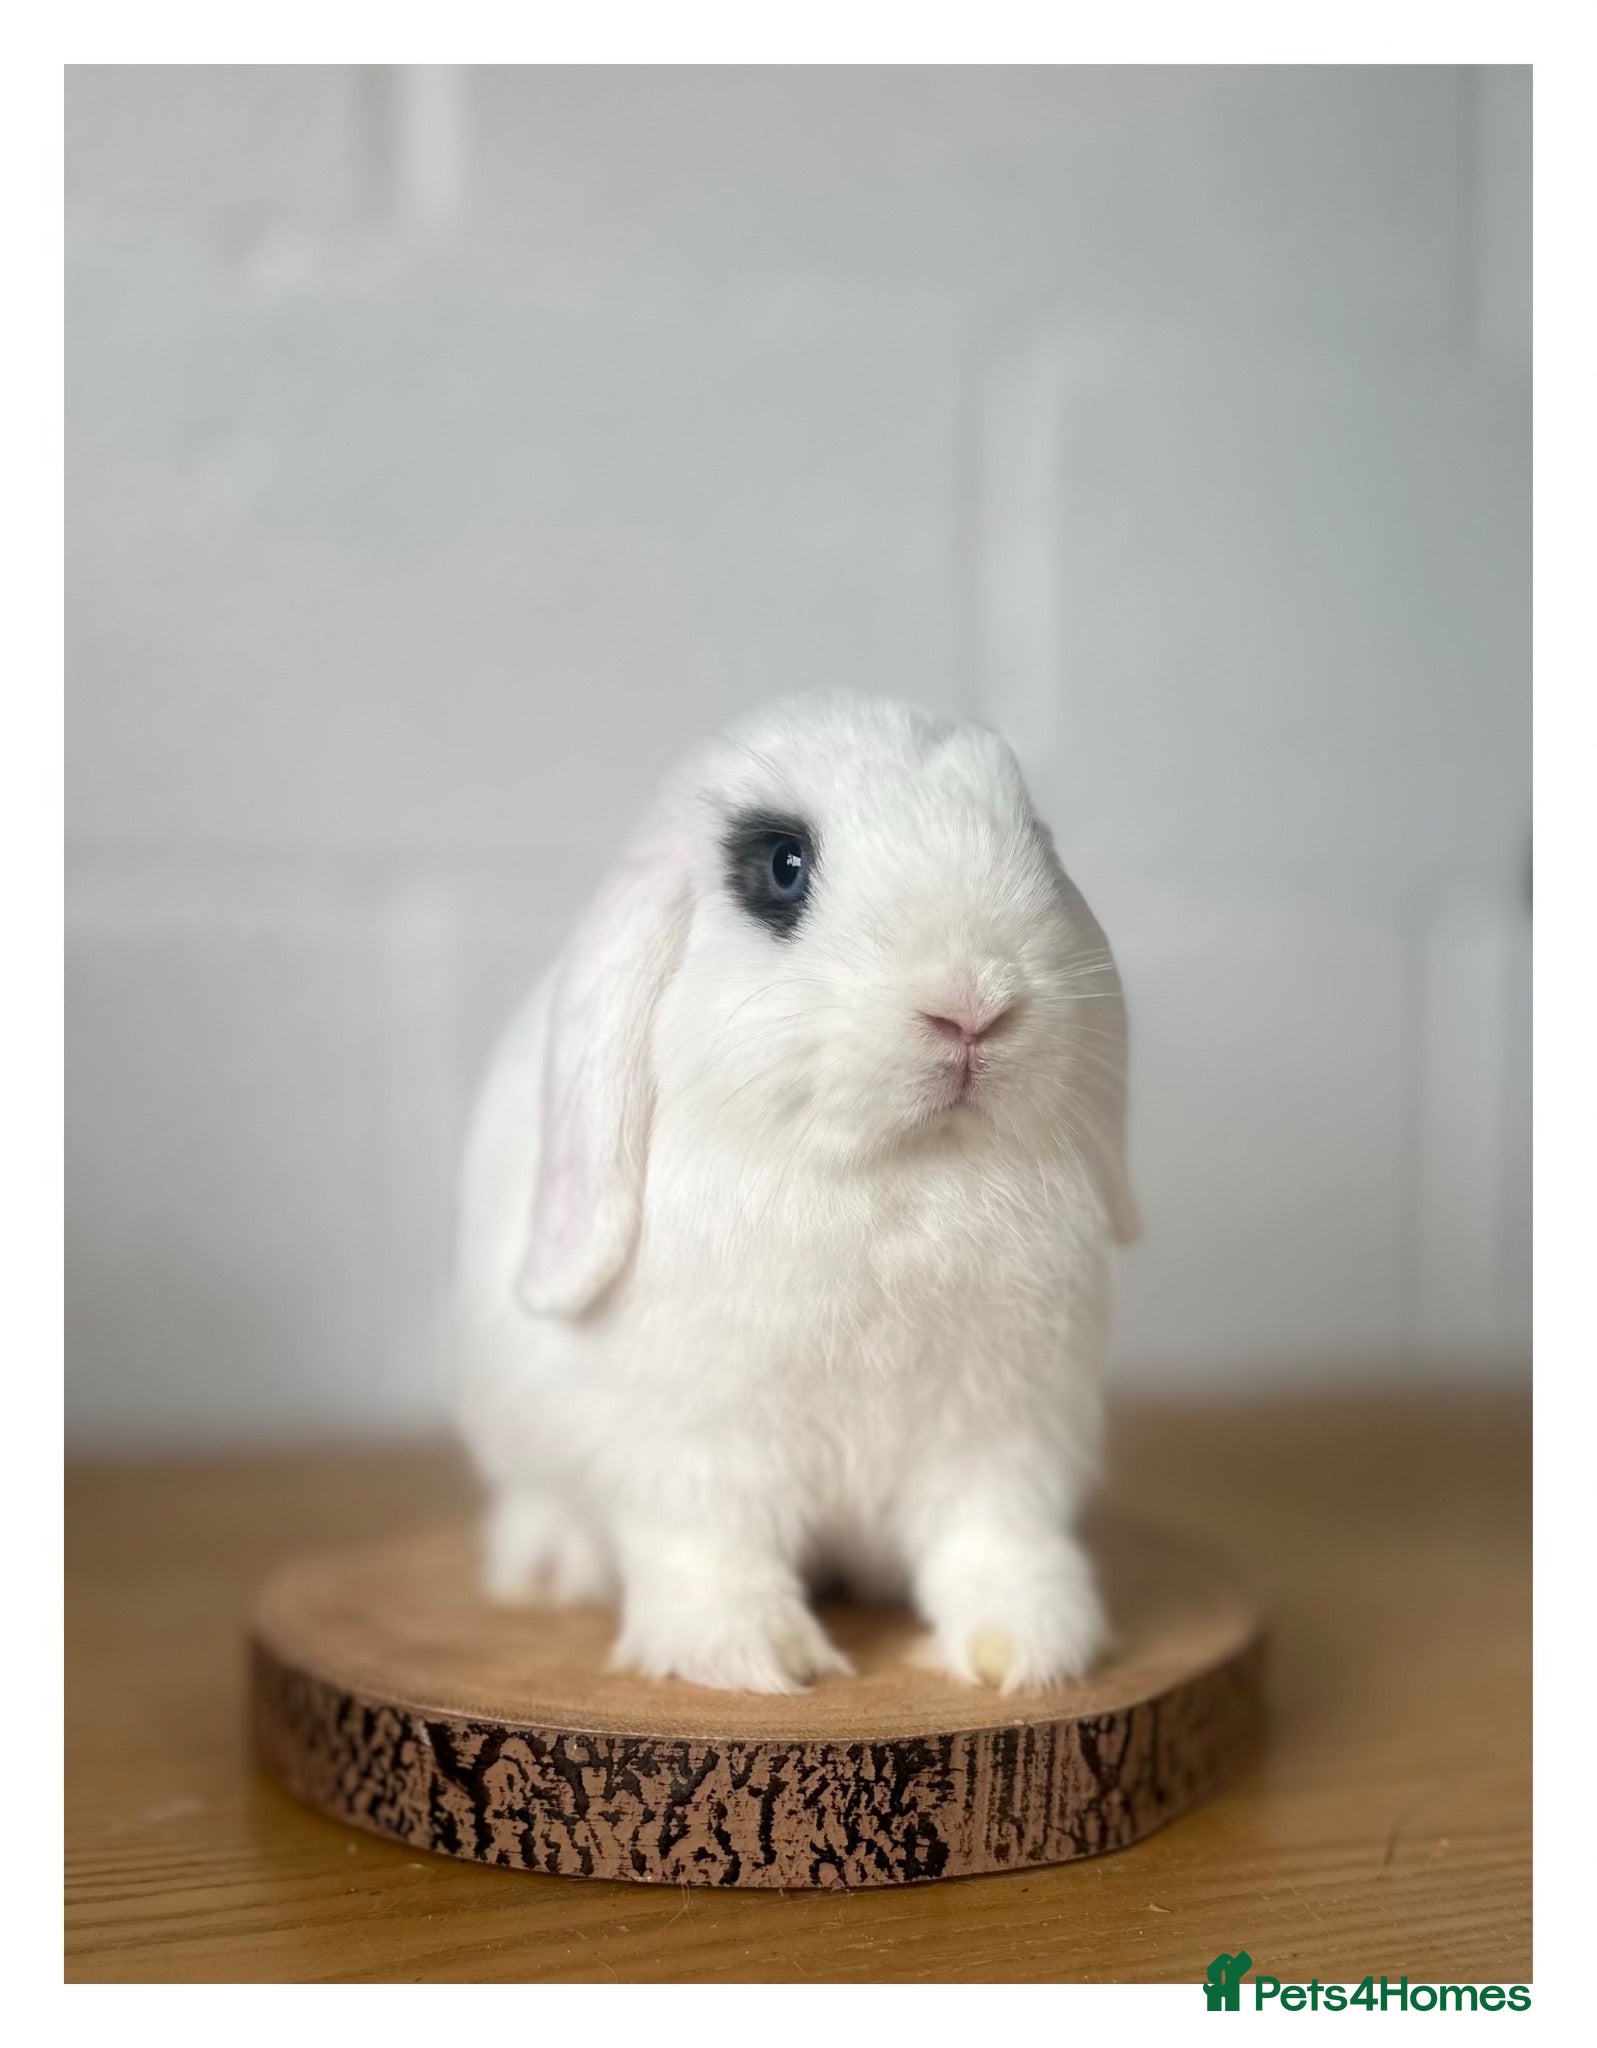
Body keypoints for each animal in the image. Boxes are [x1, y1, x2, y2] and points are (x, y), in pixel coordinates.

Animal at [454, 692, 1137, 1695]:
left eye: (1036, 838)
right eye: (782, 866)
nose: (972, 1005)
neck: (900, 1176)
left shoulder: (1002, 1440)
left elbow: (995, 1541)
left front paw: (1025, 1649)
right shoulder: (695, 1448)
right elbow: (707, 1550)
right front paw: (752, 1659)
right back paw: (550, 1572)